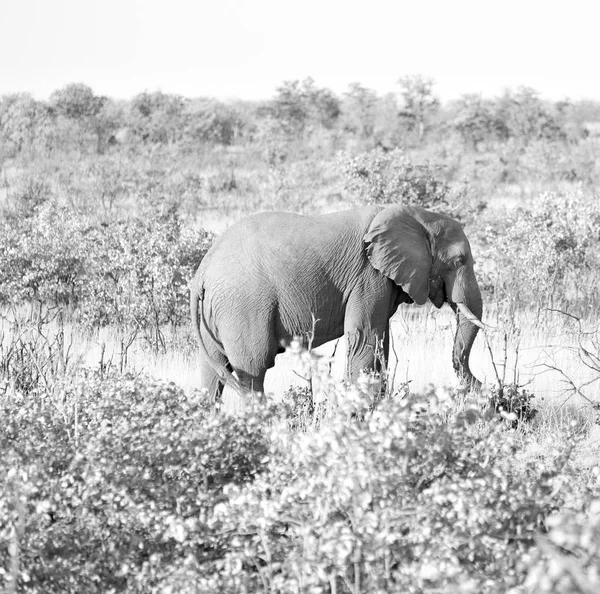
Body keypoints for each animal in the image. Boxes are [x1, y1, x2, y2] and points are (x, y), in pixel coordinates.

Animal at [190, 202, 486, 398]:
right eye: (459, 261)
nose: (483, 386)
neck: (416, 216)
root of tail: (203, 272)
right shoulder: (368, 276)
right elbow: (366, 337)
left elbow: (381, 342)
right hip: (243, 307)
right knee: (253, 369)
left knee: (212, 374)